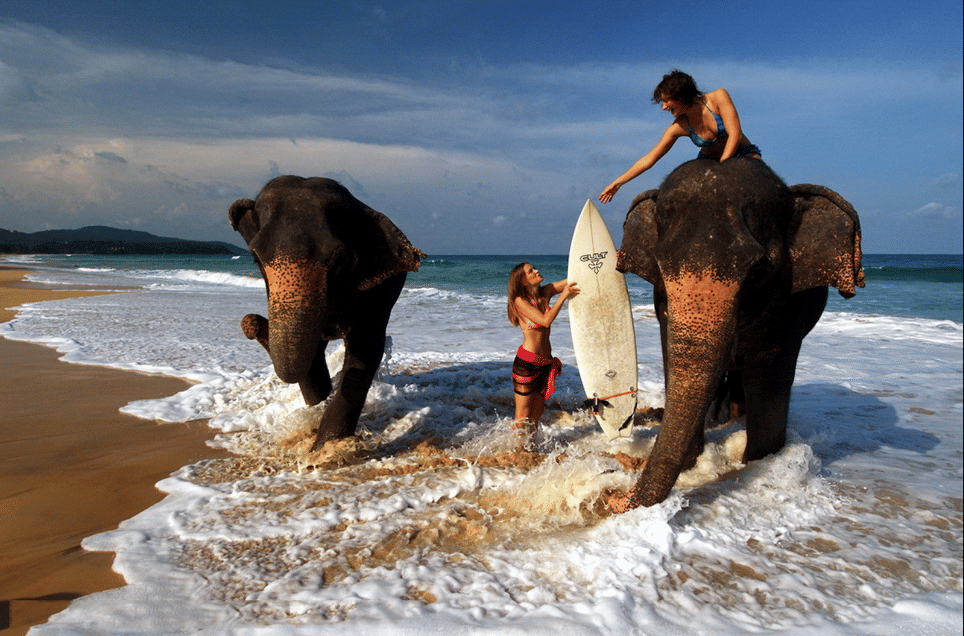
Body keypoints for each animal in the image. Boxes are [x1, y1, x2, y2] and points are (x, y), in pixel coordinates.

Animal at [229, 176, 425, 450]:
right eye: (256, 258)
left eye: (339, 259)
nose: (252, 322)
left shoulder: (376, 294)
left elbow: (365, 351)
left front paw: (326, 449)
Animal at [611, 158, 864, 511]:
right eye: (659, 267)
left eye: (759, 270)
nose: (613, 498)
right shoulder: (662, 304)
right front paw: (693, 461)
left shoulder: (787, 308)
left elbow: (769, 377)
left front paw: (759, 462)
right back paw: (719, 419)